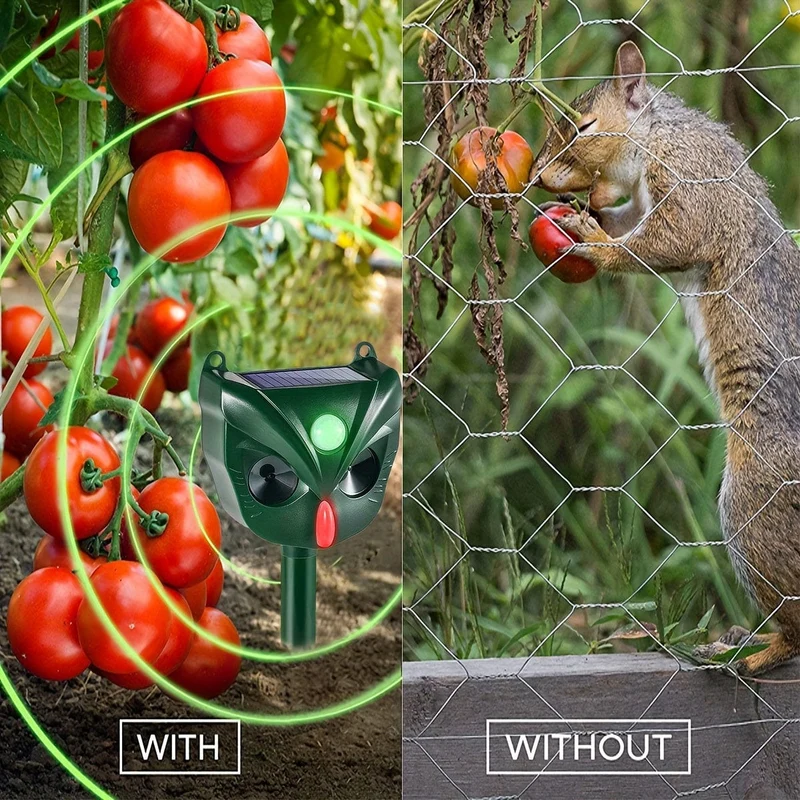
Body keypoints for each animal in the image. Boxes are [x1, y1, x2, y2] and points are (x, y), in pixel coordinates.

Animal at [531, 41, 800, 675]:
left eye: (584, 125)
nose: (539, 176)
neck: (659, 133)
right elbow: (631, 225)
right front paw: (585, 216)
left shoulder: (692, 179)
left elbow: (666, 242)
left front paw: (590, 238)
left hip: (755, 506)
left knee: (797, 629)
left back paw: (755, 653)